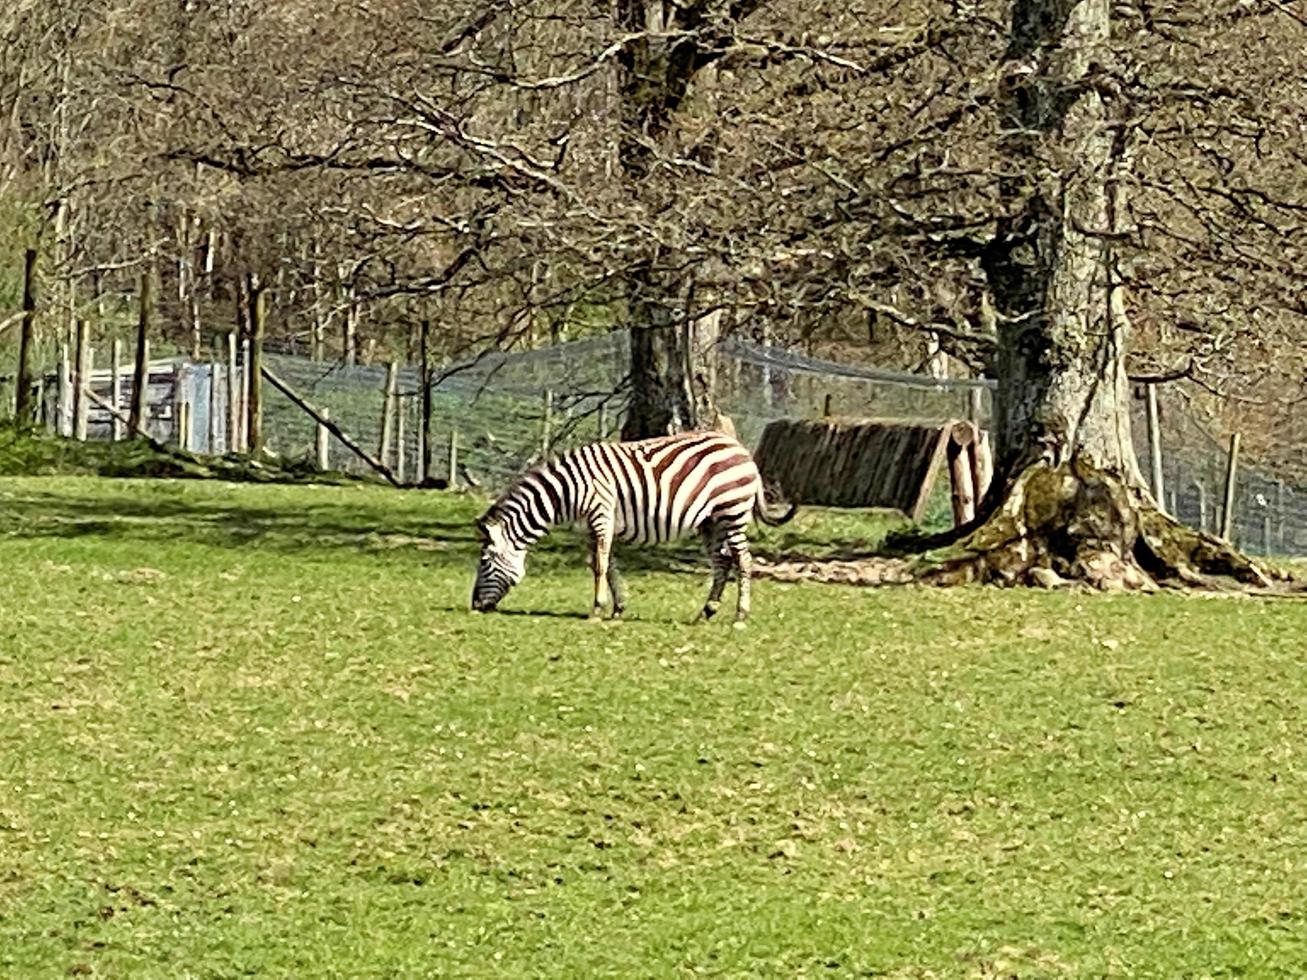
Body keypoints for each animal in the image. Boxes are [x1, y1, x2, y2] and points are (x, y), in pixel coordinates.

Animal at [470, 428, 794, 621]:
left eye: (484, 562)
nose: (474, 606)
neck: (566, 492)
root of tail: (739, 447)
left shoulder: (601, 514)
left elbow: (600, 565)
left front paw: (596, 609)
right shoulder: (593, 526)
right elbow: (603, 564)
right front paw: (617, 608)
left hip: (732, 512)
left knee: (744, 560)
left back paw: (741, 614)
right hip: (711, 521)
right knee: (723, 562)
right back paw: (707, 611)